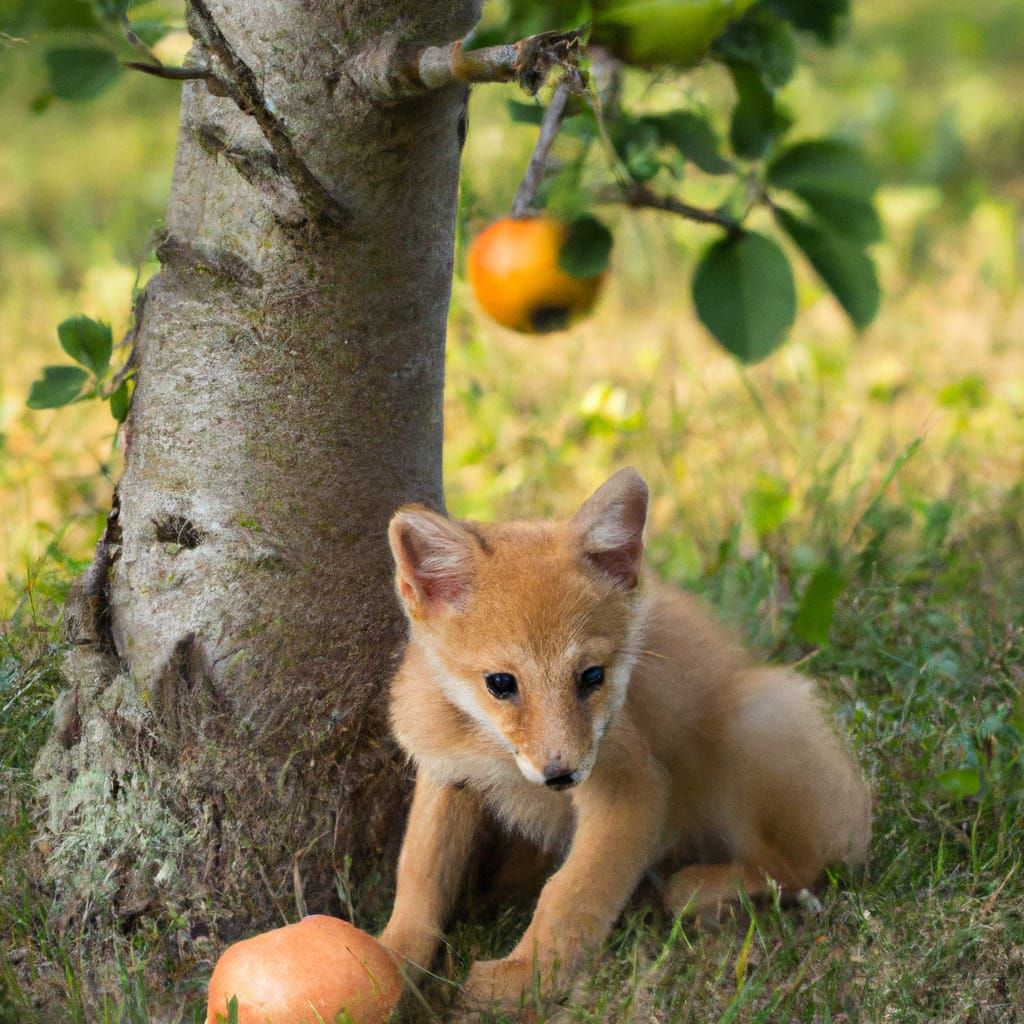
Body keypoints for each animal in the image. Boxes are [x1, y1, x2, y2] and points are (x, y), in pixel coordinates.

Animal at [378, 468, 871, 1007]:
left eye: (592, 676)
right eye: (501, 683)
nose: (561, 774)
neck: (497, 757)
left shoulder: (630, 785)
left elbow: (568, 893)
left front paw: (527, 978)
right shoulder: (447, 774)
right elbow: (418, 886)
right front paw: (384, 966)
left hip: (758, 719)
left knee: (796, 867)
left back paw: (700, 890)